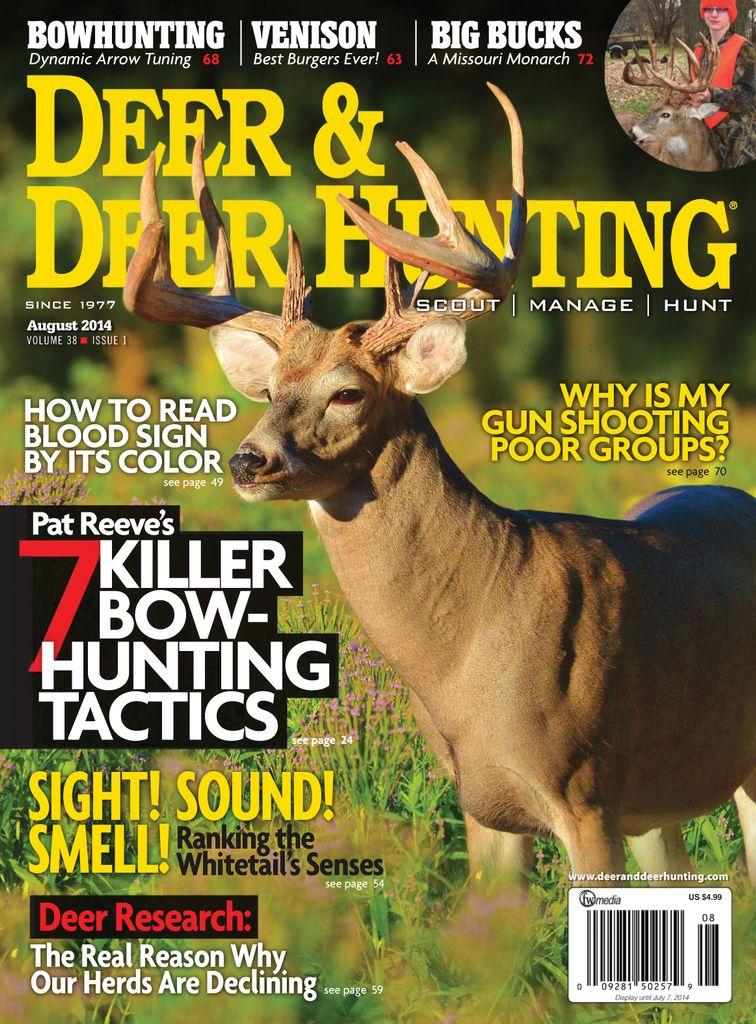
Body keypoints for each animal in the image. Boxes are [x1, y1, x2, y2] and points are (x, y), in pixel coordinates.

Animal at [124, 84, 756, 889]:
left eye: (348, 393)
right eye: (267, 389)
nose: (249, 461)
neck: (470, 656)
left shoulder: (586, 789)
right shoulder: (484, 806)